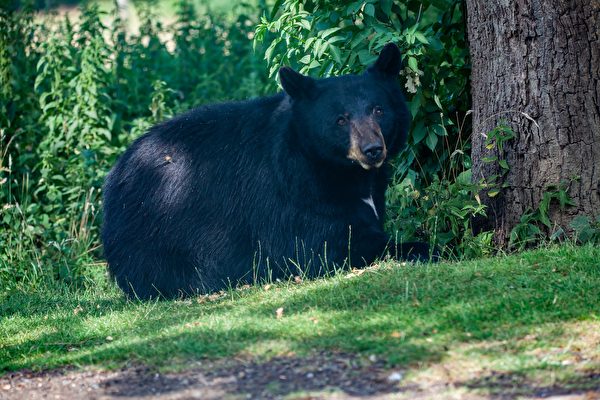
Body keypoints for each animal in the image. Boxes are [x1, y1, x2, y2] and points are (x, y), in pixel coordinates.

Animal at [102, 43, 432, 300]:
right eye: (341, 119)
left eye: (378, 109)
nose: (372, 149)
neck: (341, 171)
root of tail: (115, 175)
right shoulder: (296, 193)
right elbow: (328, 244)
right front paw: (422, 247)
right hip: (158, 228)